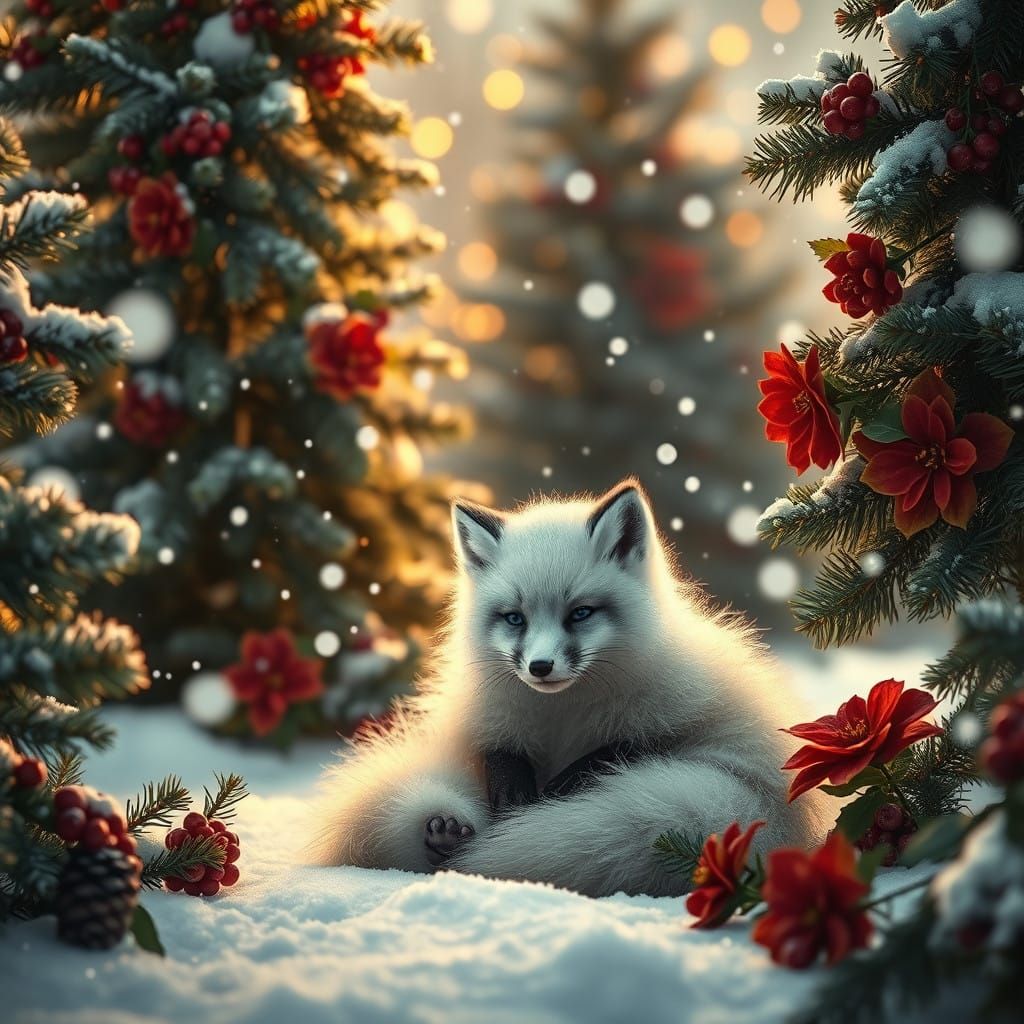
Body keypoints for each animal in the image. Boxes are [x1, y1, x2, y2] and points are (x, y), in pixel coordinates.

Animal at [309, 479, 832, 897]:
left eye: (580, 613)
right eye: (514, 618)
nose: (540, 667)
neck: (562, 719)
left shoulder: (668, 723)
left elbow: (615, 753)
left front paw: (550, 799)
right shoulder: (491, 729)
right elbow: (502, 758)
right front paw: (512, 804)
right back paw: (446, 836)